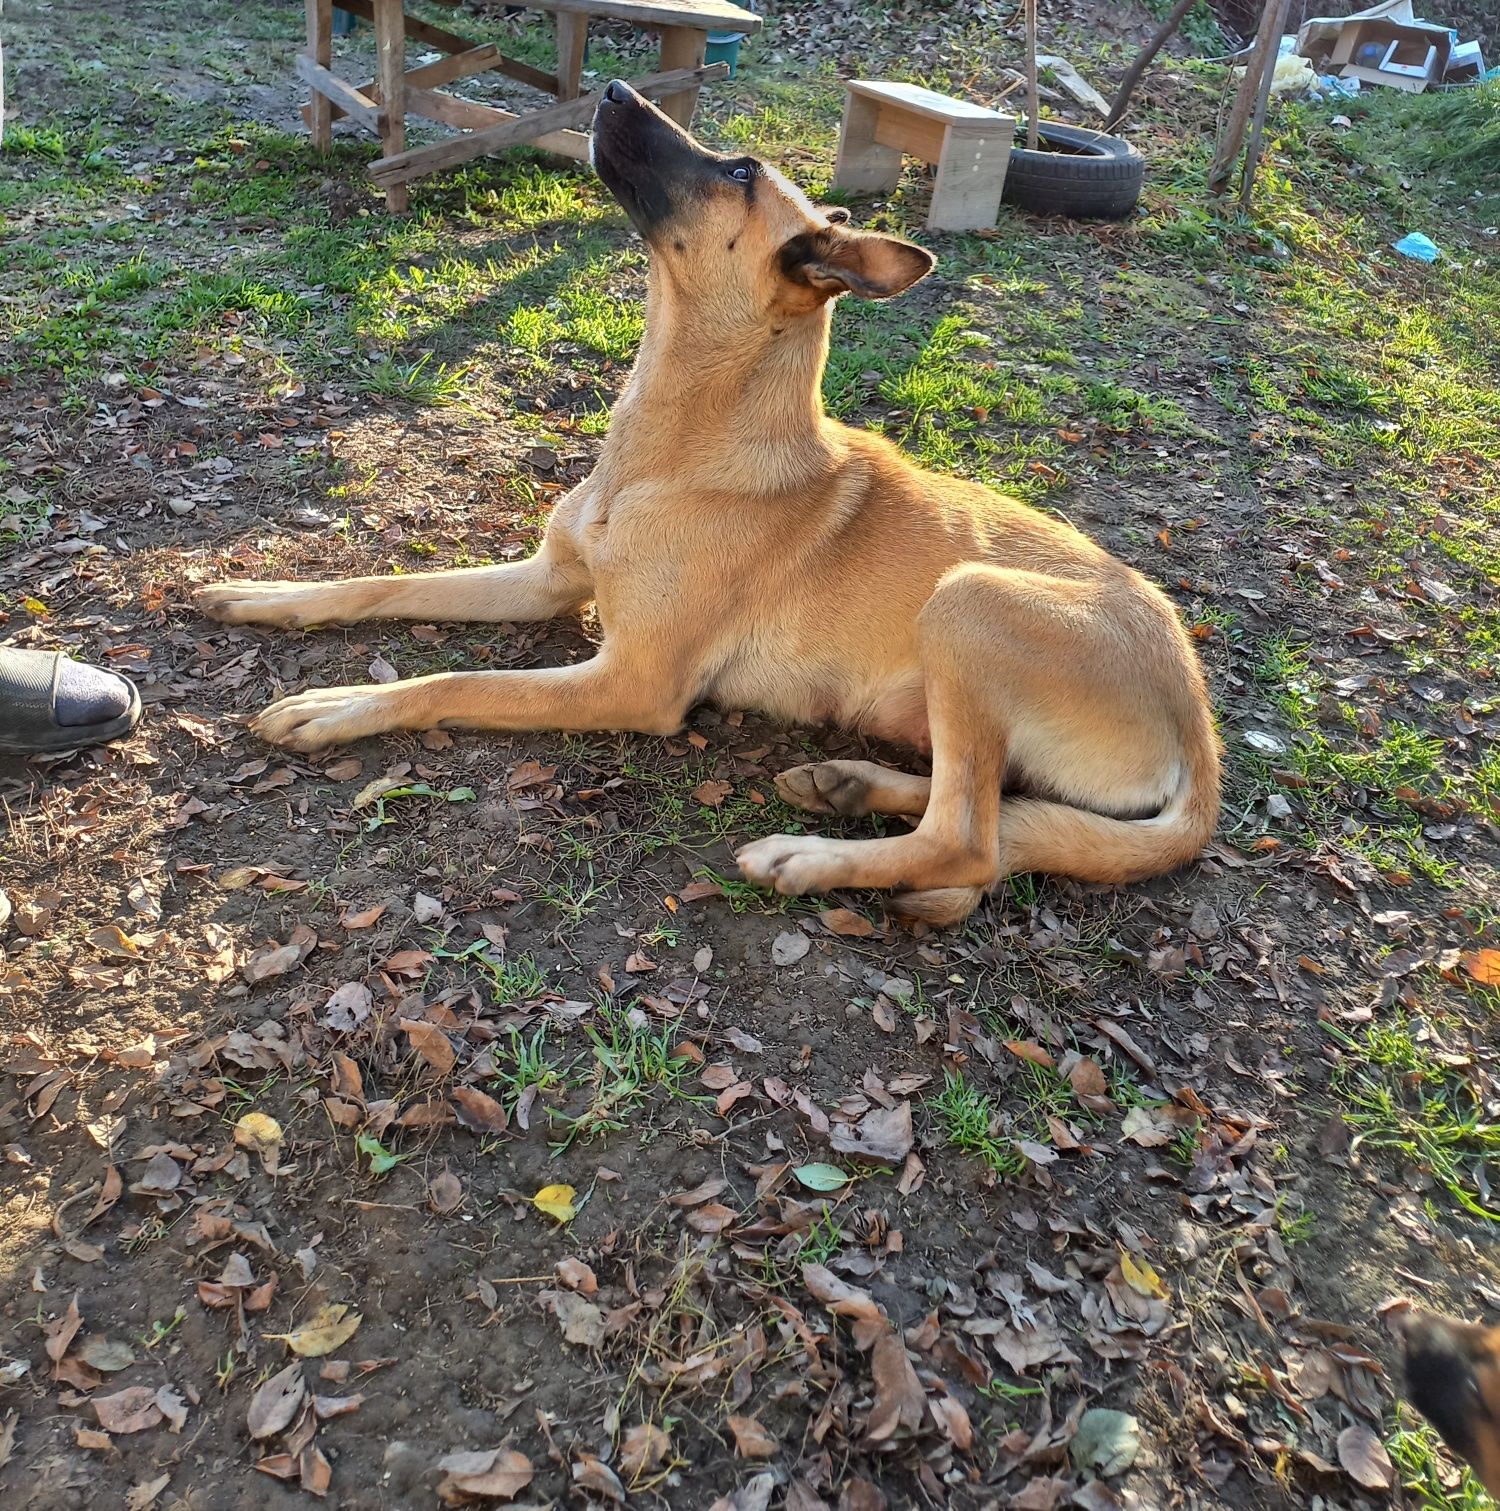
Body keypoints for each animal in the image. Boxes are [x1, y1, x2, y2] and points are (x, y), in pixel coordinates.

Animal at [196, 88, 1220, 924]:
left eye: (739, 173)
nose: (613, 87)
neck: (668, 451)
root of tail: (1199, 728)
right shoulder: (544, 581)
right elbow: (382, 582)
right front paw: (271, 598)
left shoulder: (631, 682)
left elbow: (456, 682)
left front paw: (339, 706)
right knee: (987, 807)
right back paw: (847, 783)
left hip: (970, 601)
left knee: (968, 842)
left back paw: (808, 856)